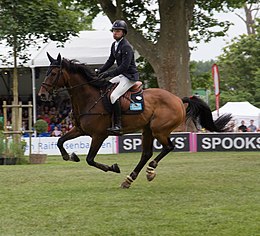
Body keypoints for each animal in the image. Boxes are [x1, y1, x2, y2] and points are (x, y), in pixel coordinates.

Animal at [38, 53, 232, 188]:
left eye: (53, 73)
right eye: (45, 72)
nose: (42, 95)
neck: (89, 98)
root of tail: (178, 99)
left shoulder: (99, 135)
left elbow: (90, 159)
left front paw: (113, 167)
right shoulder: (79, 130)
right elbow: (60, 141)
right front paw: (69, 156)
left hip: (159, 129)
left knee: (168, 147)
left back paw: (150, 170)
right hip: (147, 130)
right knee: (146, 154)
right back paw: (129, 179)